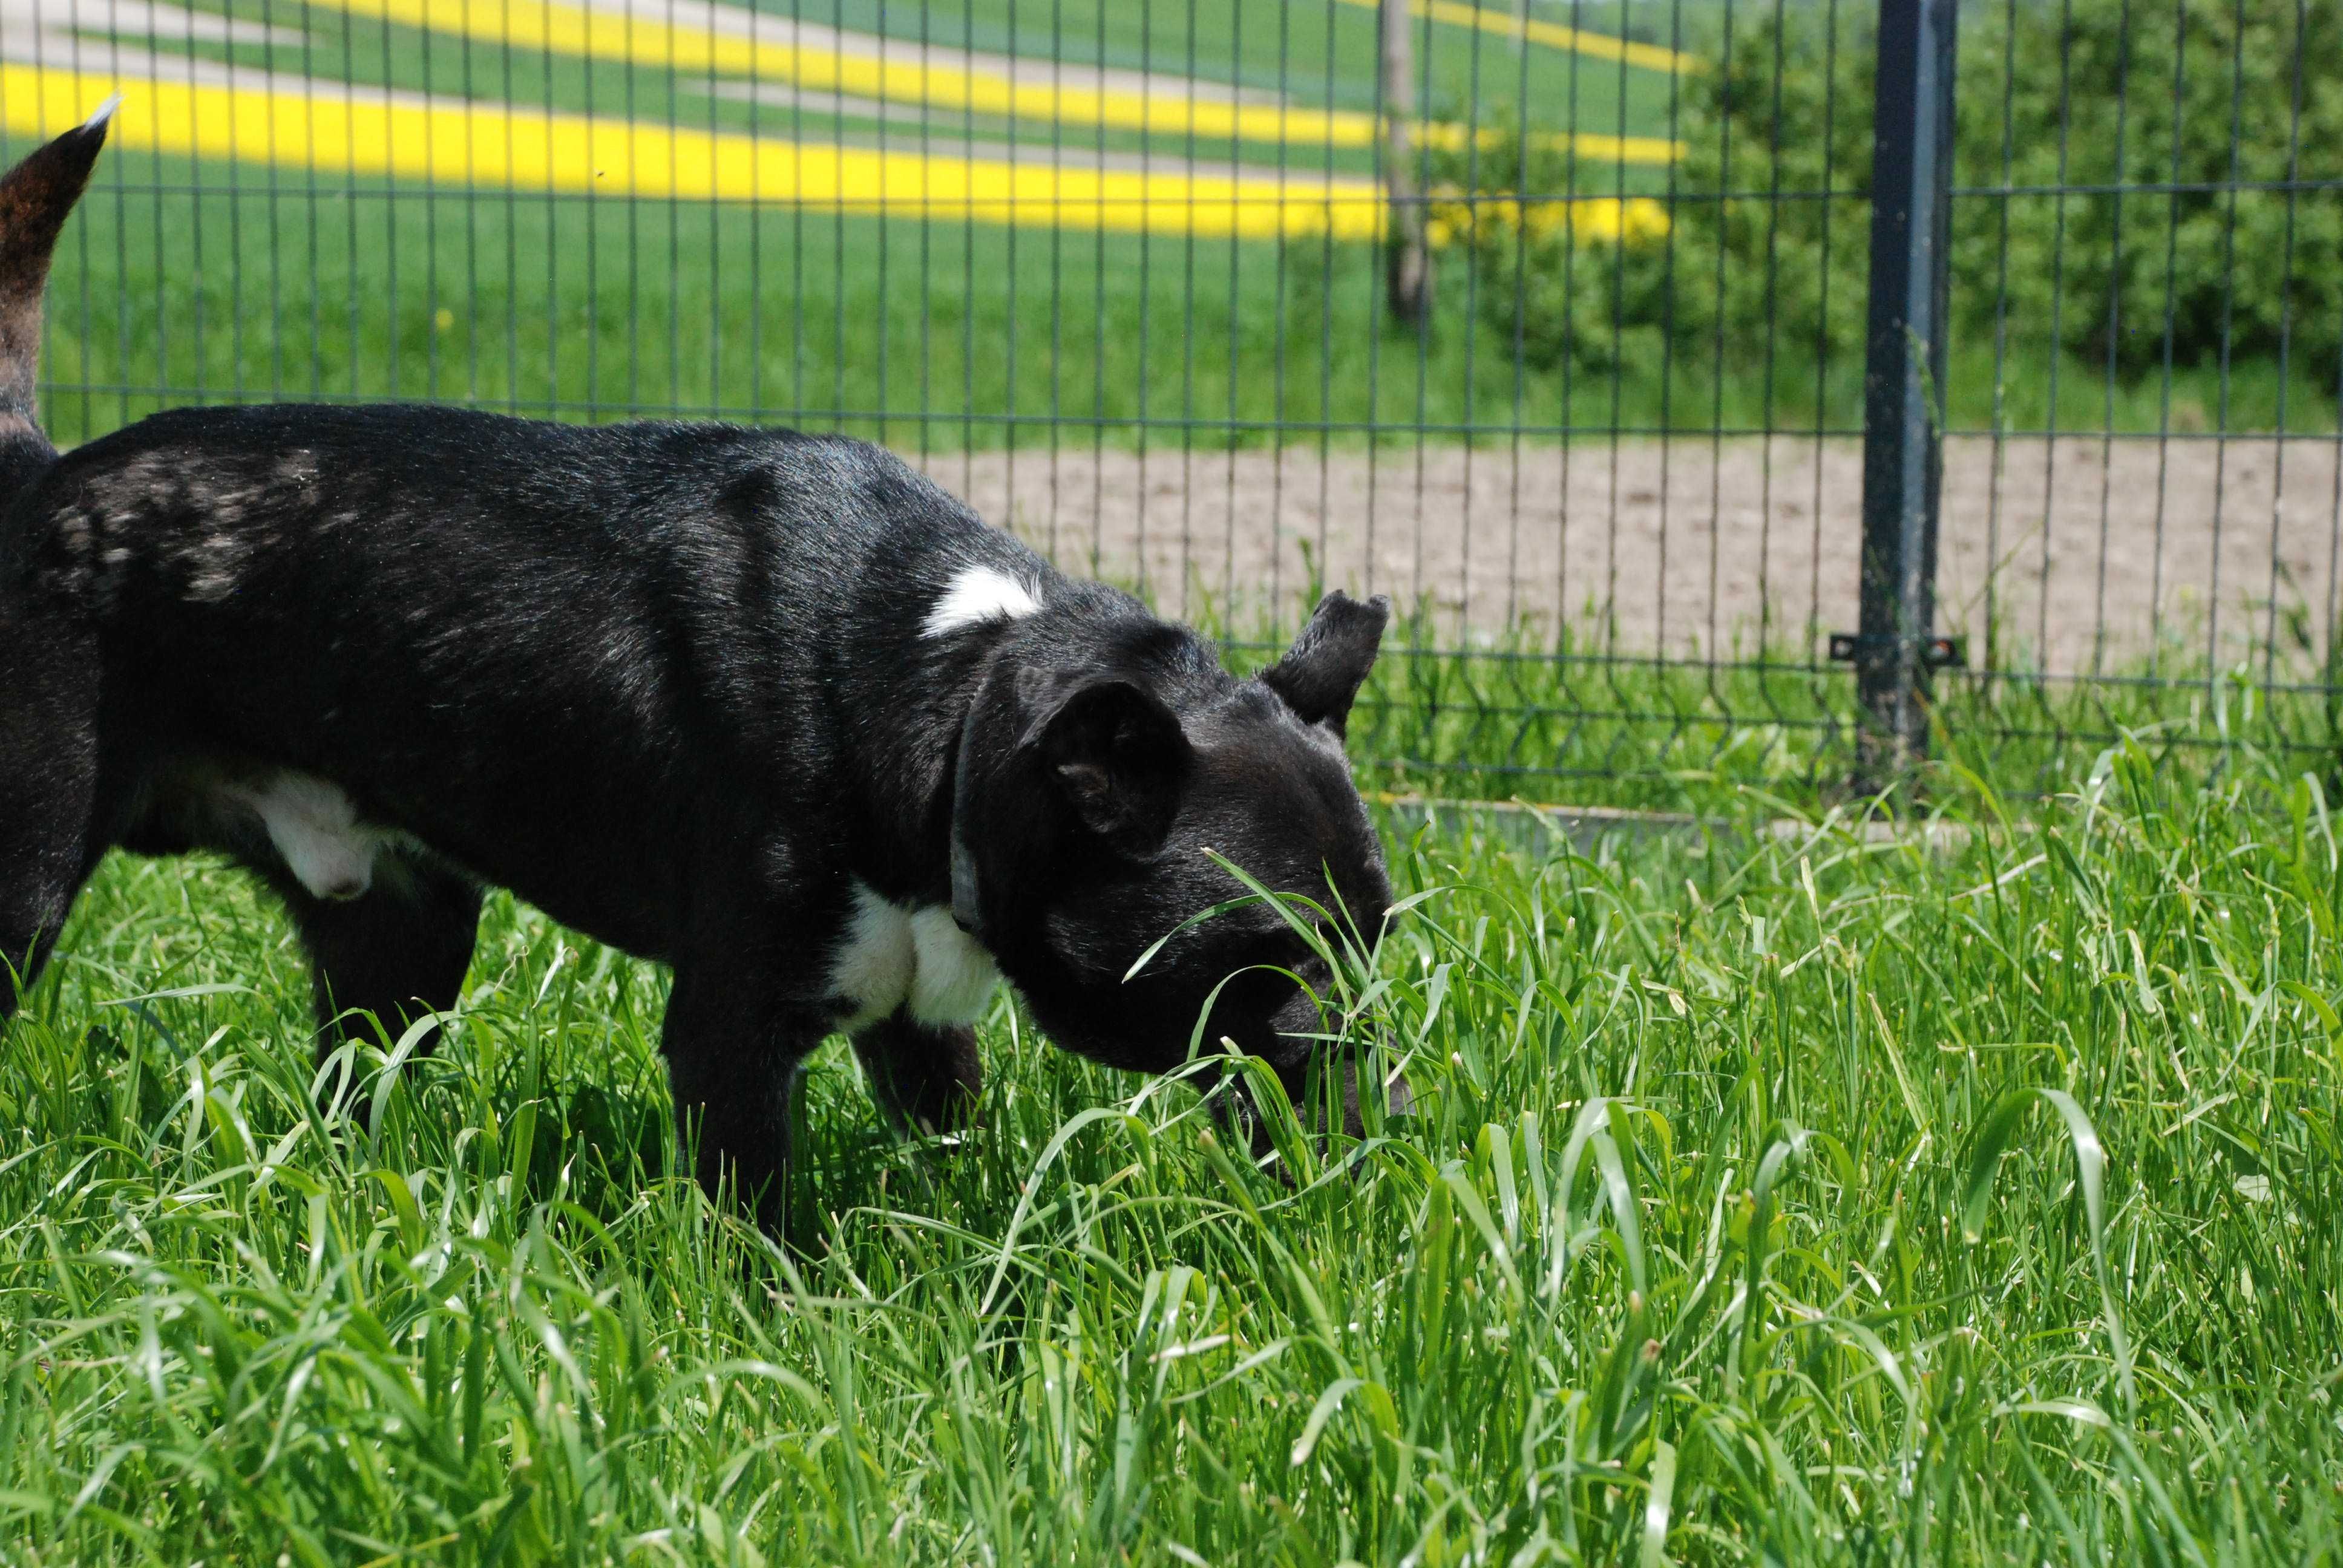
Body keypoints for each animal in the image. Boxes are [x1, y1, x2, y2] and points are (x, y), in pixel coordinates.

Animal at [0, 119, 1387, 1218]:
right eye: (1264, 955)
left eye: (1375, 933)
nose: (1382, 1099)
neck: (955, 691)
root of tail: (41, 476)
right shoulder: (732, 1031)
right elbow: (764, 1233)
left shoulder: (921, 1029)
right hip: (29, 882)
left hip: (406, 936)